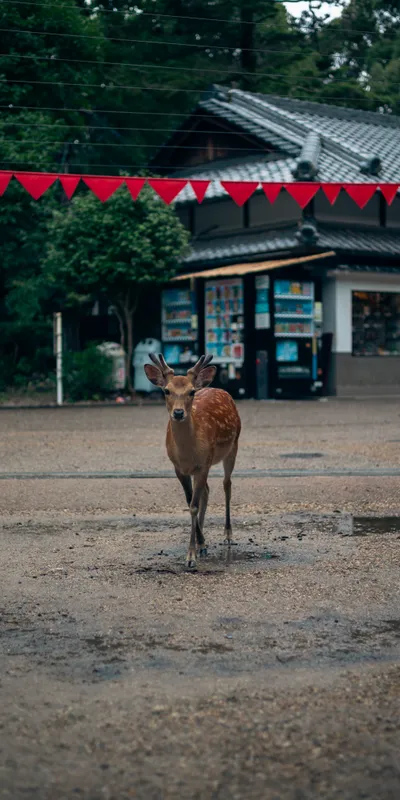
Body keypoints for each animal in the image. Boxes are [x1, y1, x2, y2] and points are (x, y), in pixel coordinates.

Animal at [144, 353, 241, 569]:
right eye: (166, 390)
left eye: (191, 392)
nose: (179, 413)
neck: (187, 453)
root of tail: (218, 388)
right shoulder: (179, 469)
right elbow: (190, 502)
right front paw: (200, 544)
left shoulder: (203, 464)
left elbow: (194, 506)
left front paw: (191, 556)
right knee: (206, 491)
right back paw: (202, 540)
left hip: (233, 445)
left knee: (227, 485)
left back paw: (228, 534)